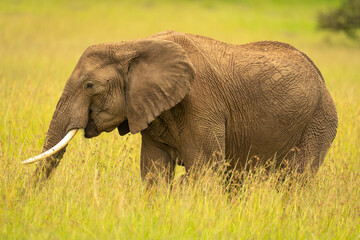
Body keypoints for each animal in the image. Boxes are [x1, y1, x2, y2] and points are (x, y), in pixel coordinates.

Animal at [24, 30, 338, 184]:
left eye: (89, 86)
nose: (26, 198)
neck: (132, 45)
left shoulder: (202, 103)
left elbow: (206, 169)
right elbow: (154, 172)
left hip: (319, 121)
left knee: (296, 179)